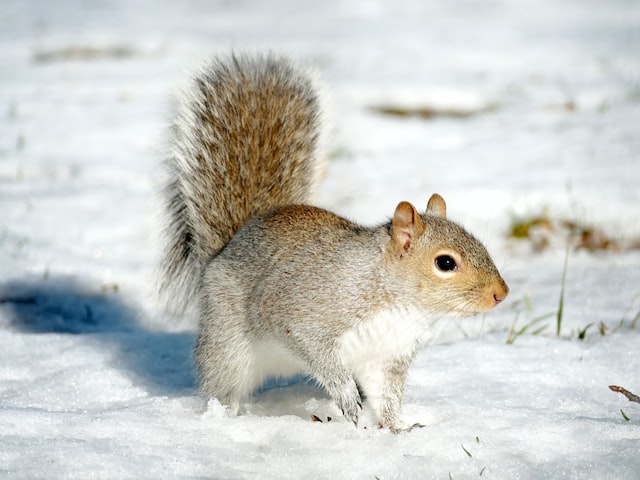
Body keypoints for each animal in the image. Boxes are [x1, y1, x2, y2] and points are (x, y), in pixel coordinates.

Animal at [161, 51, 510, 432]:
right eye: (445, 262)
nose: (501, 294)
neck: (397, 301)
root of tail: (225, 250)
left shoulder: (385, 355)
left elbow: (387, 396)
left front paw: (396, 428)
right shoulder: (305, 315)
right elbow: (318, 354)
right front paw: (347, 399)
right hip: (228, 347)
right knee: (224, 386)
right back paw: (224, 419)